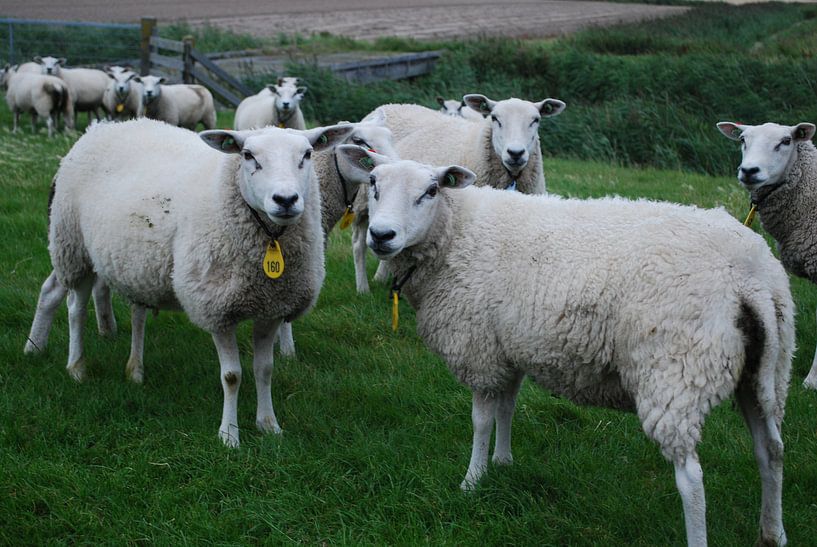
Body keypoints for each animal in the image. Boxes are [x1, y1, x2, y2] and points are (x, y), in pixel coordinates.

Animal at [44, 119, 350, 446]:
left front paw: (269, 425)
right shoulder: (215, 308)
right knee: (75, 308)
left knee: (136, 312)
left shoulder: (272, 309)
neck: (270, 241)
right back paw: (76, 367)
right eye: (247, 155)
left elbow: (265, 369)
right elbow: (232, 376)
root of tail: (103, 126)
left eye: (307, 154)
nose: (286, 200)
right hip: (73, 246)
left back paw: (135, 370)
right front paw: (229, 435)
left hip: (134, 265)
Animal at [334, 144, 792, 547]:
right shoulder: (508, 347)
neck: (457, 232)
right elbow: (507, 408)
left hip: (675, 372)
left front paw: (472, 480)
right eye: (372, 183)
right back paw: (773, 533)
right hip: (766, 371)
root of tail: (749, 275)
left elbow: (481, 421)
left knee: (692, 477)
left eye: (430, 191)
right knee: (771, 451)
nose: (381, 235)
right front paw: (503, 463)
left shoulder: (479, 349)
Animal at [354, 93, 564, 296]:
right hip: (362, 202)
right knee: (359, 244)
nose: (515, 153)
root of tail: (392, 104)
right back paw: (363, 289)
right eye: (495, 118)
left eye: (536, 120)